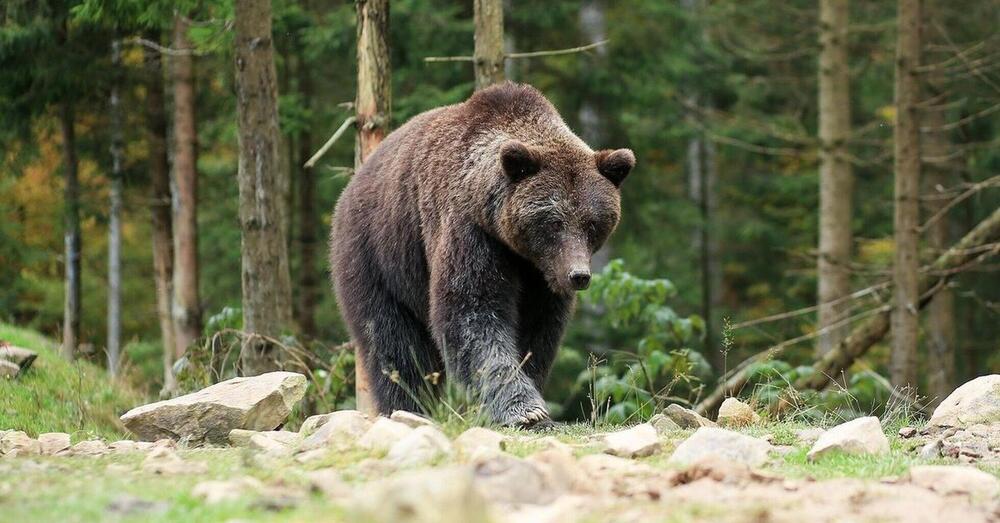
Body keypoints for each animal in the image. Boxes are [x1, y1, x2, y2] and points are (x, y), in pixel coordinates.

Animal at [330, 81, 632, 426]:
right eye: (554, 222)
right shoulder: (470, 232)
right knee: (392, 341)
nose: (578, 275)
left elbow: (537, 330)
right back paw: (408, 406)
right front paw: (525, 410)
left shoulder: (539, 275)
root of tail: (354, 182)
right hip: (378, 253)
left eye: (592, 223)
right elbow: (472, 310)